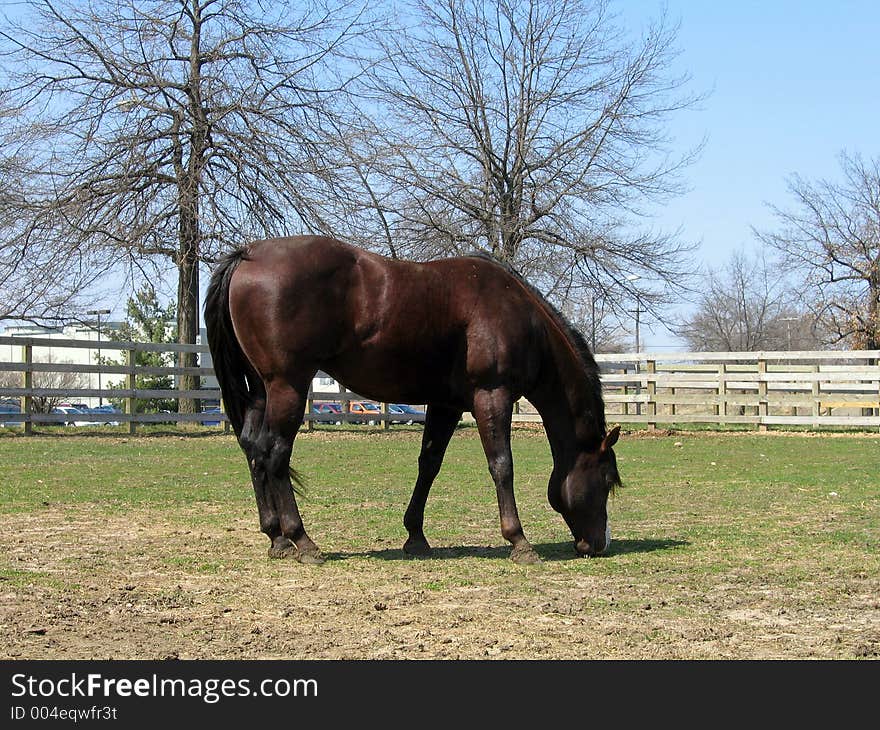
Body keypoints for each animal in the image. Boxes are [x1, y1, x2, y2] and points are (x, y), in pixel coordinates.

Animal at [203, 233, 624, 564]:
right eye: (606, 480)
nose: (598, 545)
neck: (521, 318)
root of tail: (248, 254)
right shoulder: (492, 396)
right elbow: (501, 465)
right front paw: (518, 540)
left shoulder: (446, 405)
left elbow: (429, 466)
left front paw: (416, 536)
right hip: (288, 385)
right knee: (275, 453)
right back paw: (302, 540)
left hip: (262, 389)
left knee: (254, 449)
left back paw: (276, 537)